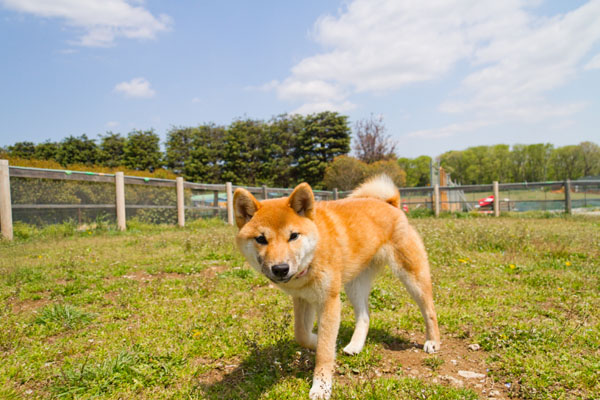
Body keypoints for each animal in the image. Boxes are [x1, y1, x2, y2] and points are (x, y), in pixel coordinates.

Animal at [233, 176, 440, 400]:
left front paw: (321, 386)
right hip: (355, 285)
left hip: (412, 276)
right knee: (364, 316)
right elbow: (301, 334)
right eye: (261, 239)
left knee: (429, 310)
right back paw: (355, 345)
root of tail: (390, 203)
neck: (312, 257)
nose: (280, 269)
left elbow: (324, 351)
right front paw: (318, 340)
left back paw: (433, 341)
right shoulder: (303, 298)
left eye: (293, 236)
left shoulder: (329, 301)